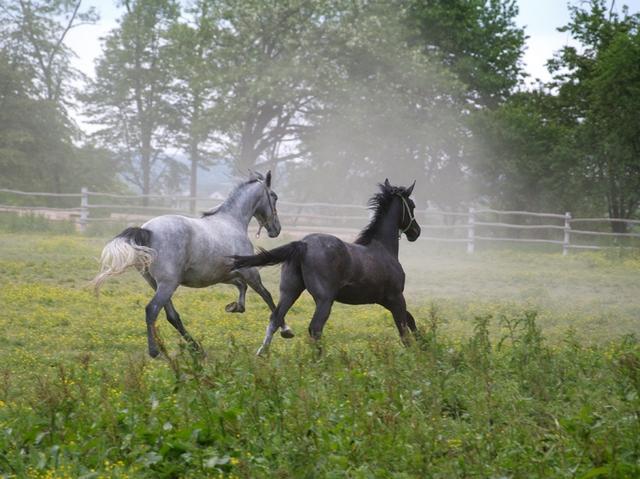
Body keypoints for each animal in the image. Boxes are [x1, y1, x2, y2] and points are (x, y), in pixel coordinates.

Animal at [92, 170, 293, 357]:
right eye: (274, 197)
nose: (276, 229)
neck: (232, 221)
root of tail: (147, 230)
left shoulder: (225, 274)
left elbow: (241, 287)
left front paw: (234, 307)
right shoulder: (250, 272)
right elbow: (267, 296)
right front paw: (285, 330)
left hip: (156, 283)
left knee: (172, 316)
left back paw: (195, 348)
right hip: (168, 284)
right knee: (152, 310)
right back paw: (155, 351)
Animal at [232, 179, 421, 355]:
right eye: (412, 205)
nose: (416, 232)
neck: (383, 248)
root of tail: (303, 244)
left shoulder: (383, 300)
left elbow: (410, 320)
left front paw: (423, 344)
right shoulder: (396, 297)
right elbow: (404, 328)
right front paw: (415, 353)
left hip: (290, 291)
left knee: (276, 318)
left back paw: (262, 354)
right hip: (325, 299)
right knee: (315, 328)